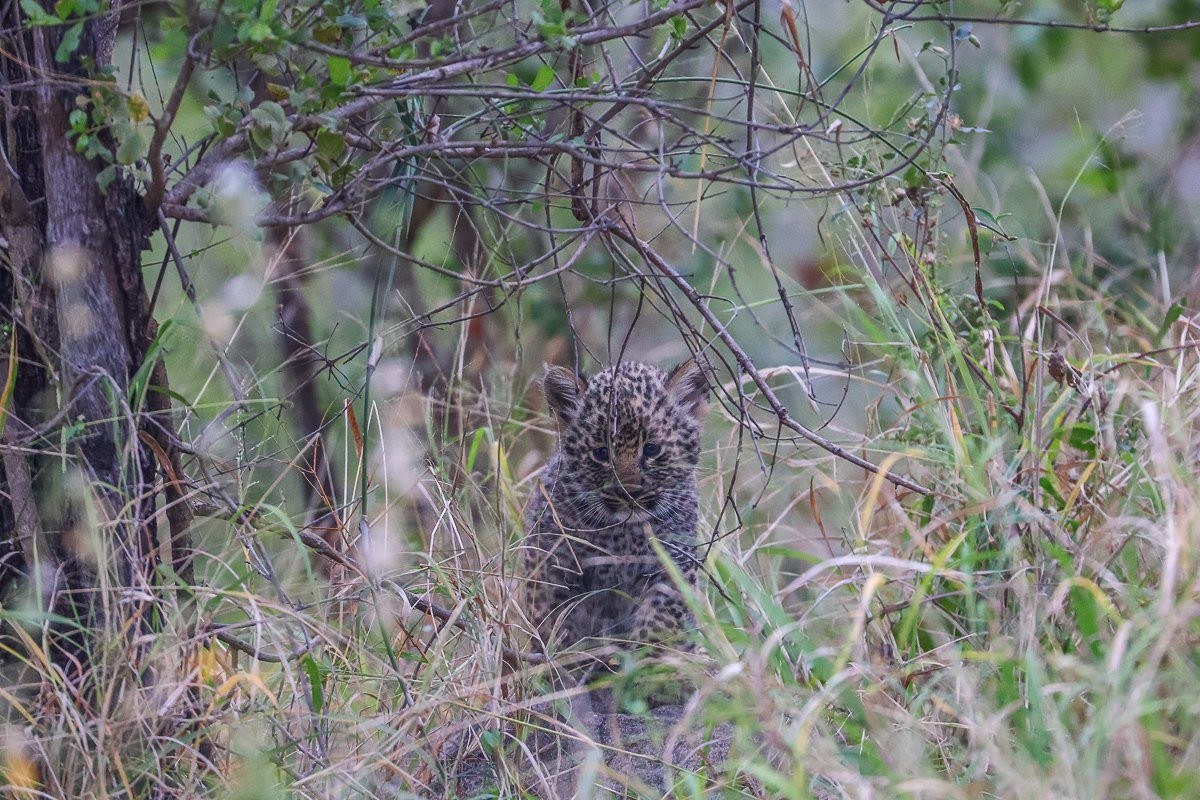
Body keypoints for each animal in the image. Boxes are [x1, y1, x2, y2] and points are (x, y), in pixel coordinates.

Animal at [522, 358, 710, 661]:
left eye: (651, 449)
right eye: (601, 453)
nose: (629, 492)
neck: (623, 533)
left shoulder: (672, 565)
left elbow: (659, 622)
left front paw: (643, 662)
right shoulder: (553, 565)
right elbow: (558, 621)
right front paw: (568, 659)